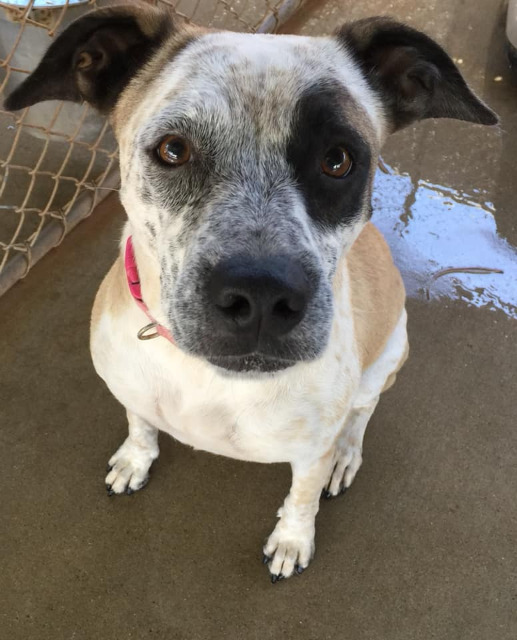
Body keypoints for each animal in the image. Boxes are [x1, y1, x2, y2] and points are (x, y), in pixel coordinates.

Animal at [4, 2, 496, 580]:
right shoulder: (130, 388)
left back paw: (346, 456)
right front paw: (134, 458)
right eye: (173, 149)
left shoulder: (310, 450)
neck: (209, 378)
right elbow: (141, 422)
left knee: (362, 415)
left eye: (338, 159)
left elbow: (302, 496)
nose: (262, 298)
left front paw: (292, 540)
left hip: (390, 355)